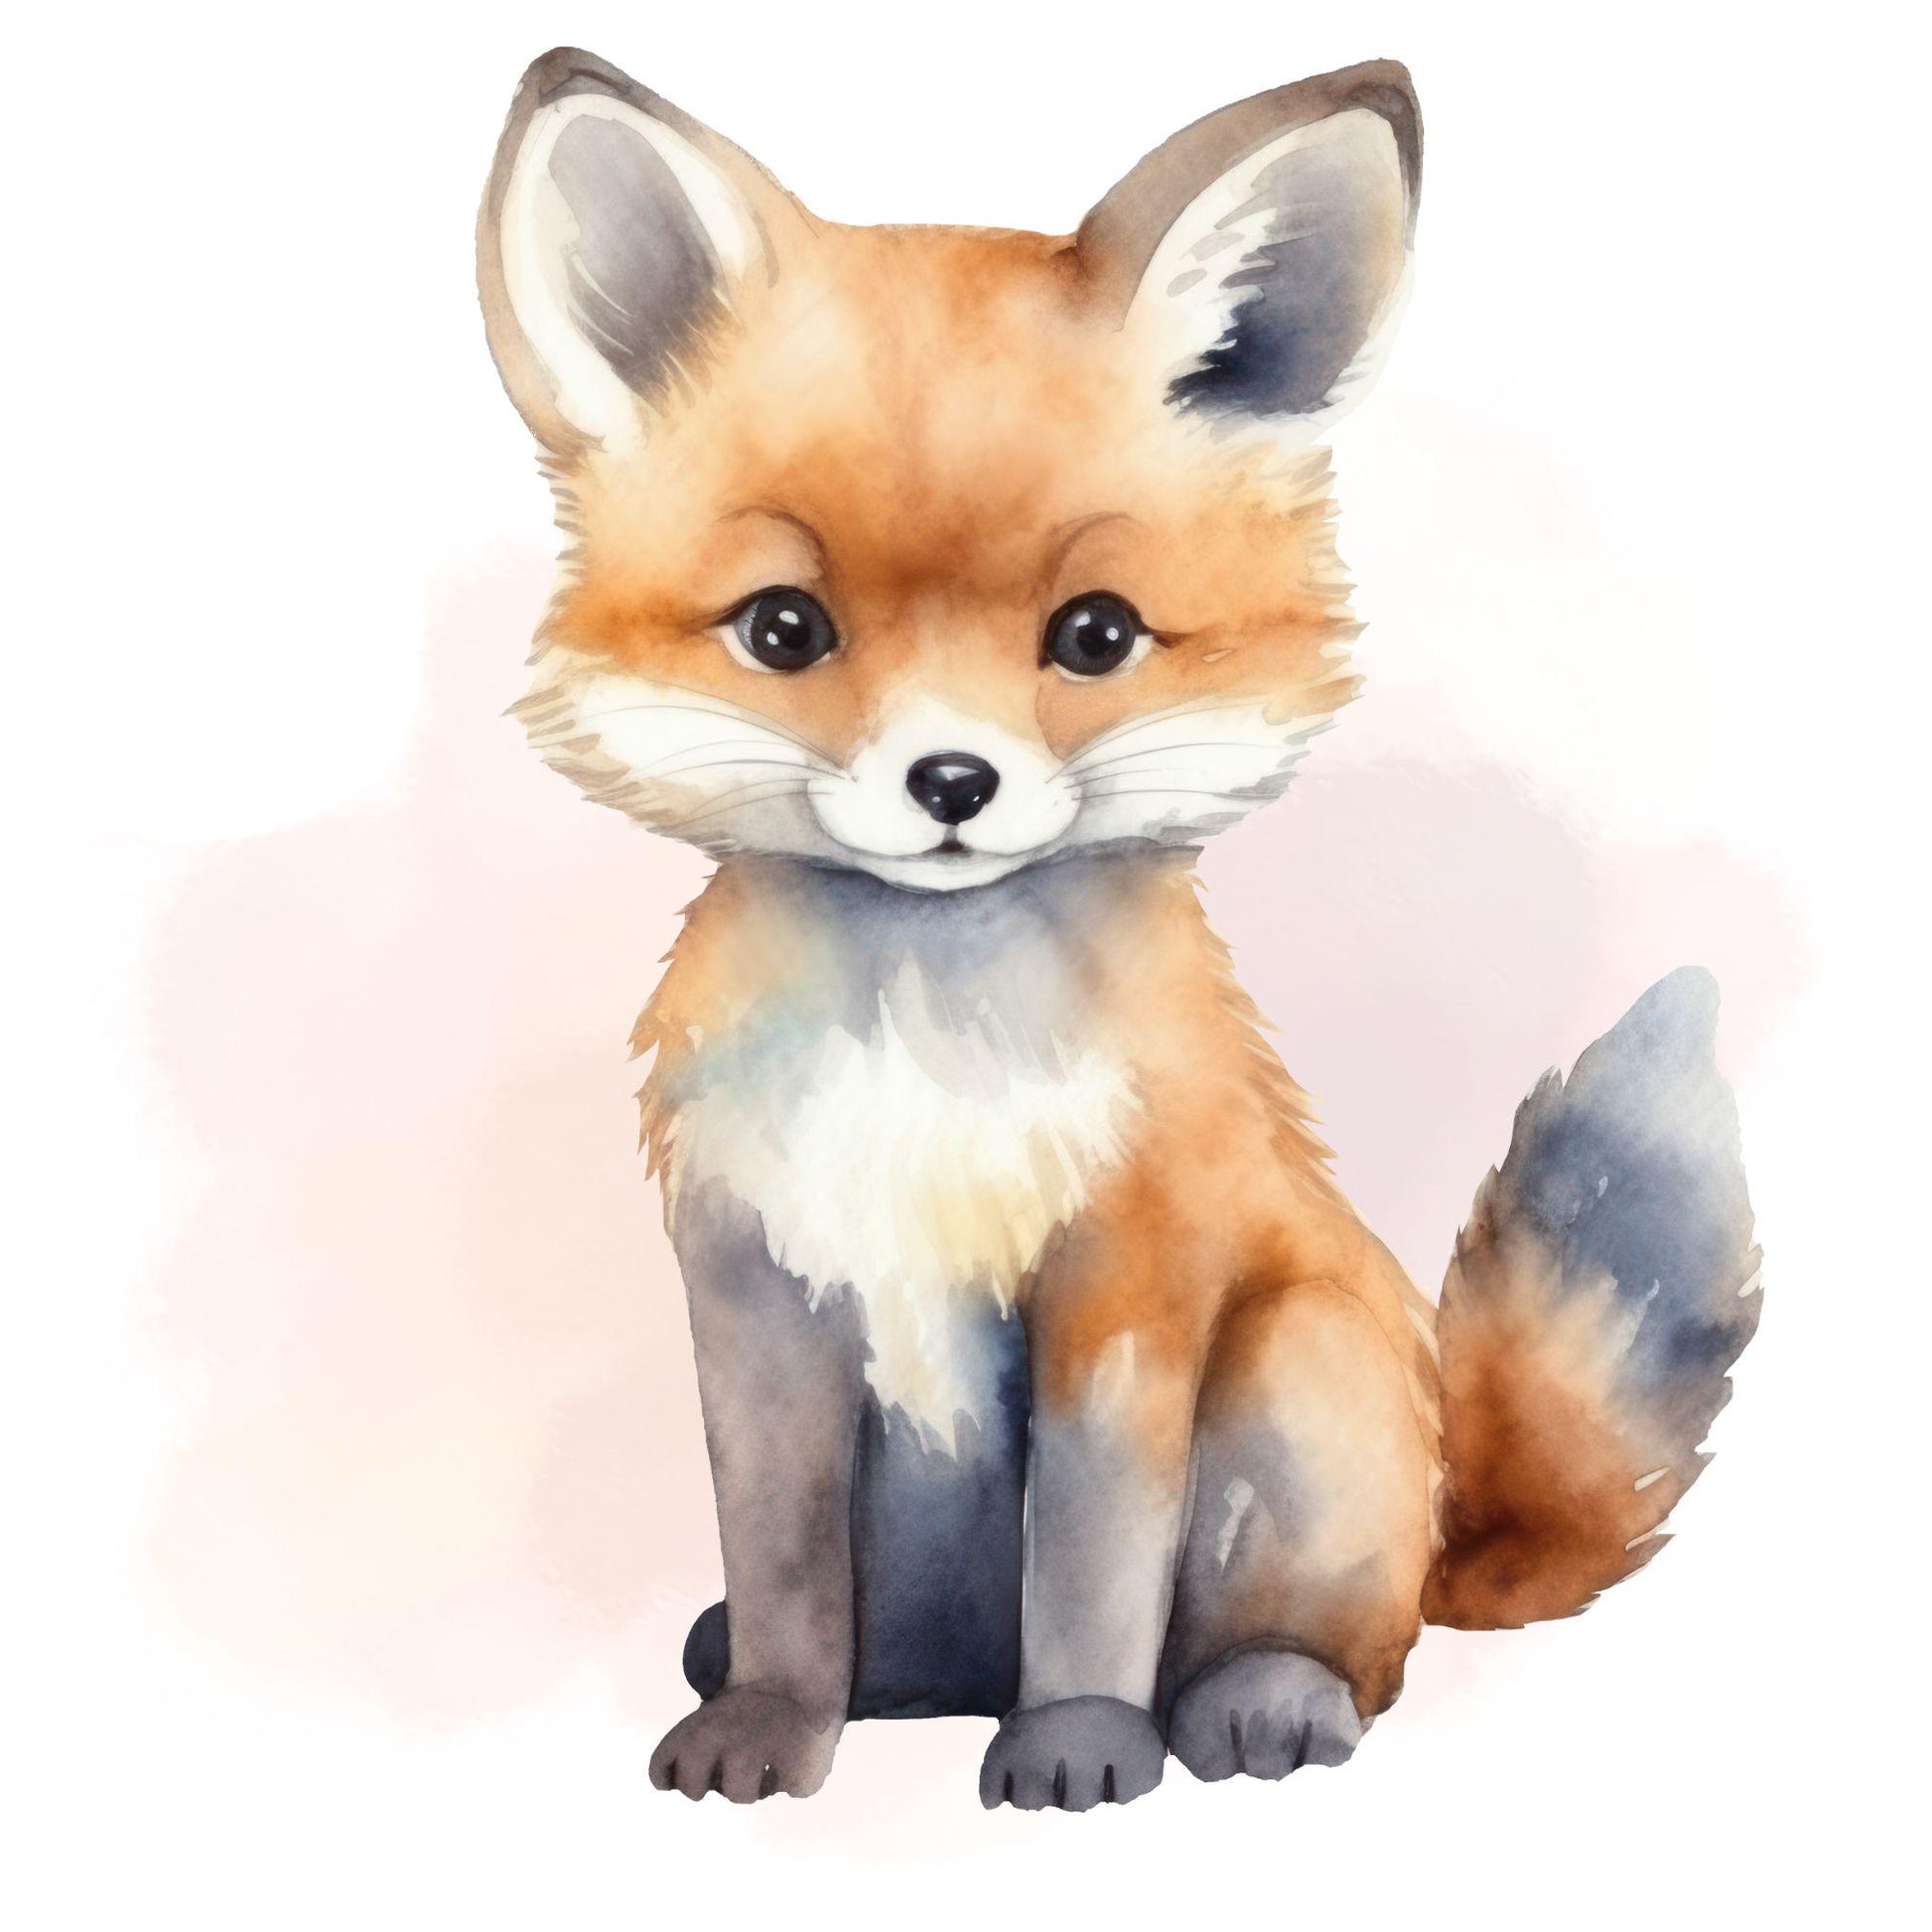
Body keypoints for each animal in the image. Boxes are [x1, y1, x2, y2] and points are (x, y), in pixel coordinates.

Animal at [475, 48, 1762, 1810]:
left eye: (1092, 636)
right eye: (783, 629)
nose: (951, 781)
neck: (920, 1060)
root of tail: (1446, 1517)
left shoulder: (1126, 1280)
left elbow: (1090, 1559)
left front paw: (1082, 1739)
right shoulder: (757, 1291)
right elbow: (784, 1552)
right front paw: (771, 1721)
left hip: (1297, 1376)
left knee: (1348, 1649)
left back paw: (1256, 1700)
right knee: (895, 1644)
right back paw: (829, 1676)